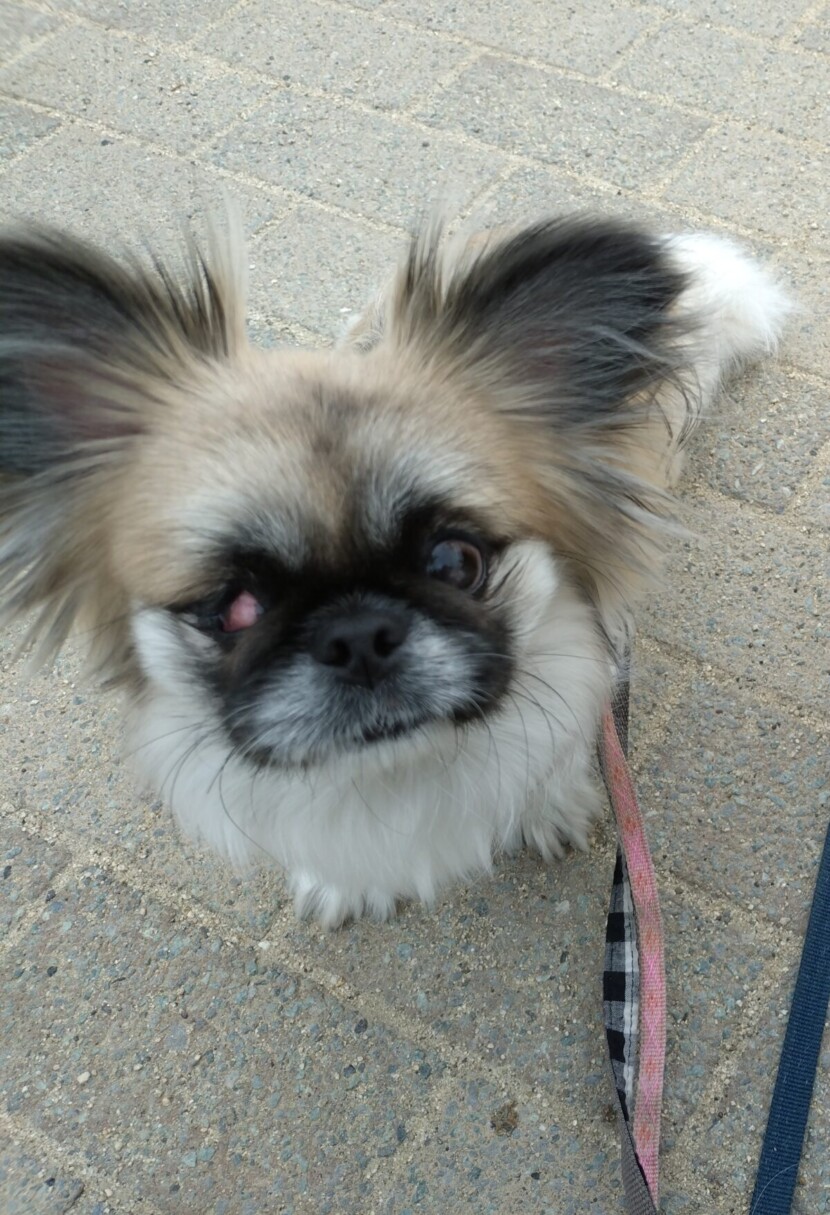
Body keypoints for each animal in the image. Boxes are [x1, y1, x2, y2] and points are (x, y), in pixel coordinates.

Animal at [0, 213, 789, 925]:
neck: (400, 768)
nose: (358, 636)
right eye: (235, 606)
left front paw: (549, 806)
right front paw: (341, 884)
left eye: (454, 560)